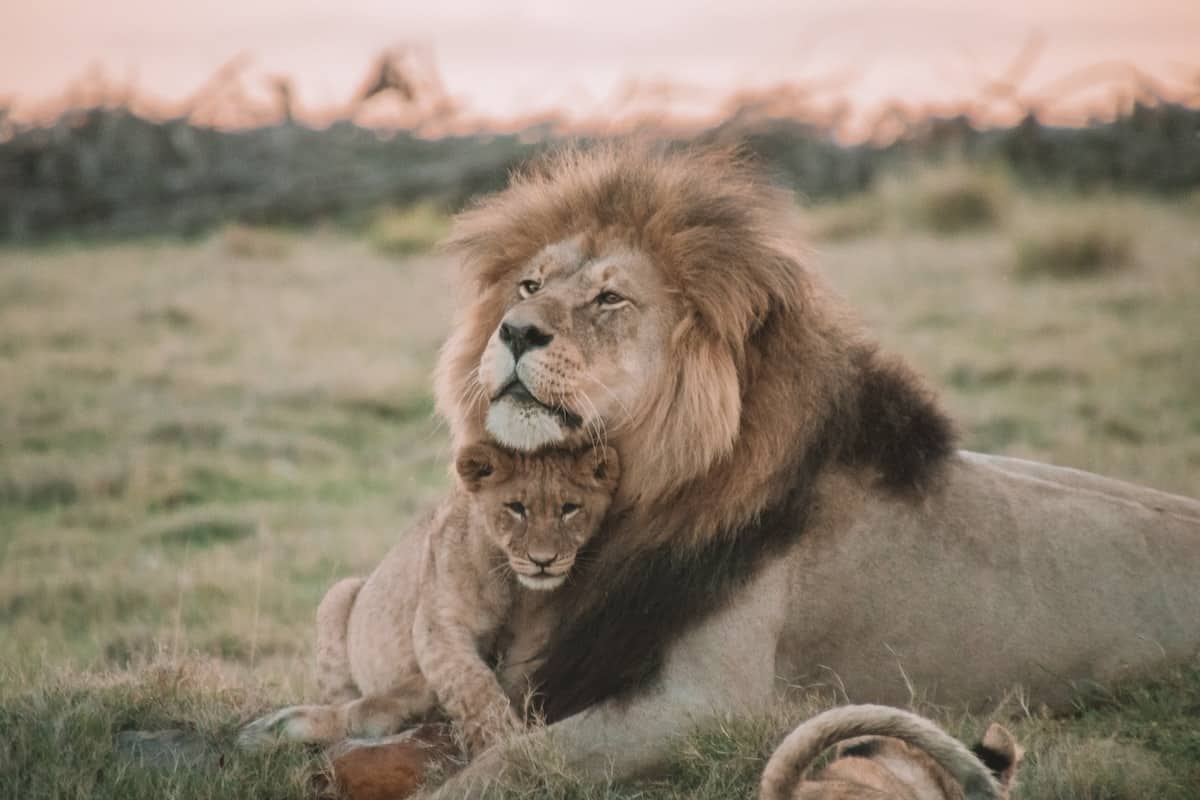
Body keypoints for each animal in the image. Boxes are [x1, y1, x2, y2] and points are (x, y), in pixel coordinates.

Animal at [427, 145, 1195, 796]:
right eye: (528, 284)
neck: (640, 492)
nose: (515, 330)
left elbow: (515, 758)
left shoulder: (706, 704)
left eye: (609, 299)